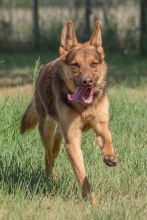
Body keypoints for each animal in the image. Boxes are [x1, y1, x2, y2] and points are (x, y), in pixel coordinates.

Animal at [20, 20, 117, 201]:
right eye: (75, 65)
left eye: (94, 64)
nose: (88, 82)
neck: (83, 107)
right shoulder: (72, 141)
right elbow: (82, 175)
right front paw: (91, 202)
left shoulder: (100, 124)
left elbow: (107, 137)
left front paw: (109, 155)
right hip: (46, 128)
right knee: (48, 155)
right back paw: (51, 178)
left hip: (60, 133)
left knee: (54, 148)